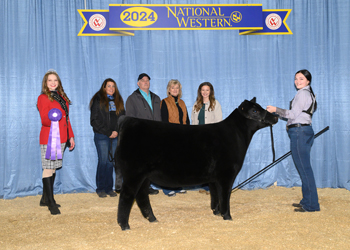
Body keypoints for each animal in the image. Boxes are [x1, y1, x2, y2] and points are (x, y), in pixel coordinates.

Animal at [116, 96, 278, 229]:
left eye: (261, 107)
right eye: (255, 110)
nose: (275, 116)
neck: (236, 135)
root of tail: (128, 120)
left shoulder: (214, 178)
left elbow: (215, 195)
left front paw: (216, 212)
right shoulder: (226, 175)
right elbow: (225, 196)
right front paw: (227, 216)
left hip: (143, 176)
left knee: (141, 195)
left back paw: (152, 219)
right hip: (133, 173)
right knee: (126, 196)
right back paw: (124, 225)